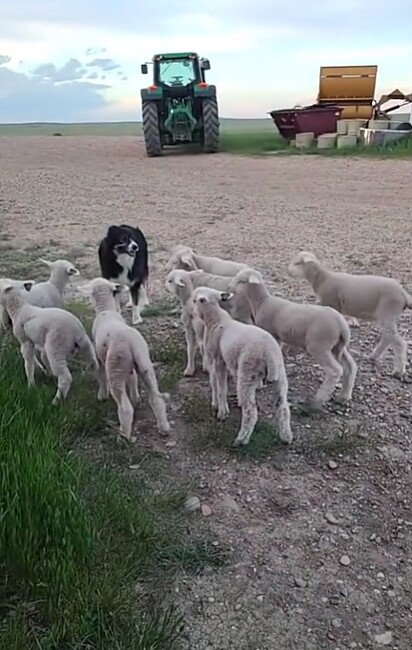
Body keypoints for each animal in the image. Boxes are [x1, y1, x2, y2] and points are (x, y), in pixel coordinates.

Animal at [89, 276, 170, 442]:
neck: (106, 310)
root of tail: (131, 344)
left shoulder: (99, 357)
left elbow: (101, 376)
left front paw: (102, 396)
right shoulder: (130, 367)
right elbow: (132, 379)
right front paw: (136, 398)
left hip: (115, 367)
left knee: (125, 408)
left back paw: (123, 436)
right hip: (144, 365)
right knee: (156, 399)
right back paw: (164, 428)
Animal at [191, 288, 292, 446]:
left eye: (195, 300)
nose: (192, 312)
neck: (216, 320)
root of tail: (269, 353)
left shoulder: (218, 359)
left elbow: (220, 387)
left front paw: (221, 411)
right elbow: (216, 382)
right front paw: (220, 405)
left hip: (248, 371)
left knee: (251, 411)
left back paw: (241, 440)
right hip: (280, 374)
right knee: (283, 407)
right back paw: (286, 437)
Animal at [229, 266, 358, 408]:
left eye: (241, 281)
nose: (229, 288)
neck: (262, 302)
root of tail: (342, 325)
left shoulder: (270, 333)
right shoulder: (277, 337)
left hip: (319, 345)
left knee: (335, 371)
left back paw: (318, 400)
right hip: (337, 346)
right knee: (350, 366)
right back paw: (344, 396)